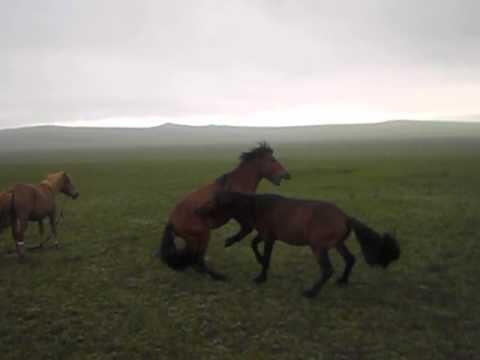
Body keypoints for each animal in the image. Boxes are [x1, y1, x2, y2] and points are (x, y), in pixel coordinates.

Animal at [157, 143, 288, 282]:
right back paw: (219, 276)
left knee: (192, 260)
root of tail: (171, 222)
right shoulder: (238, 214)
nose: (286, 174)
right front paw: (230, 241)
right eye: (272, 160)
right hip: (202, 236)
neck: (237, 184)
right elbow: (247, 229)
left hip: (193, 240)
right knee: (197, 260)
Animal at [200, 191, 402, 296]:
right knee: (350, 259)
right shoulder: (267, 235)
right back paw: (342, 281)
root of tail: (345, 217)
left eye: (213, 205)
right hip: (337, 244)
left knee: (328, 269)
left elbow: (265, 255)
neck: (257, 206)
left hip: (318, 247)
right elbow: (254, 245)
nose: (200, 212)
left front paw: (261, 277)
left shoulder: (268, 237)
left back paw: (311, 292)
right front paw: (258, 262)